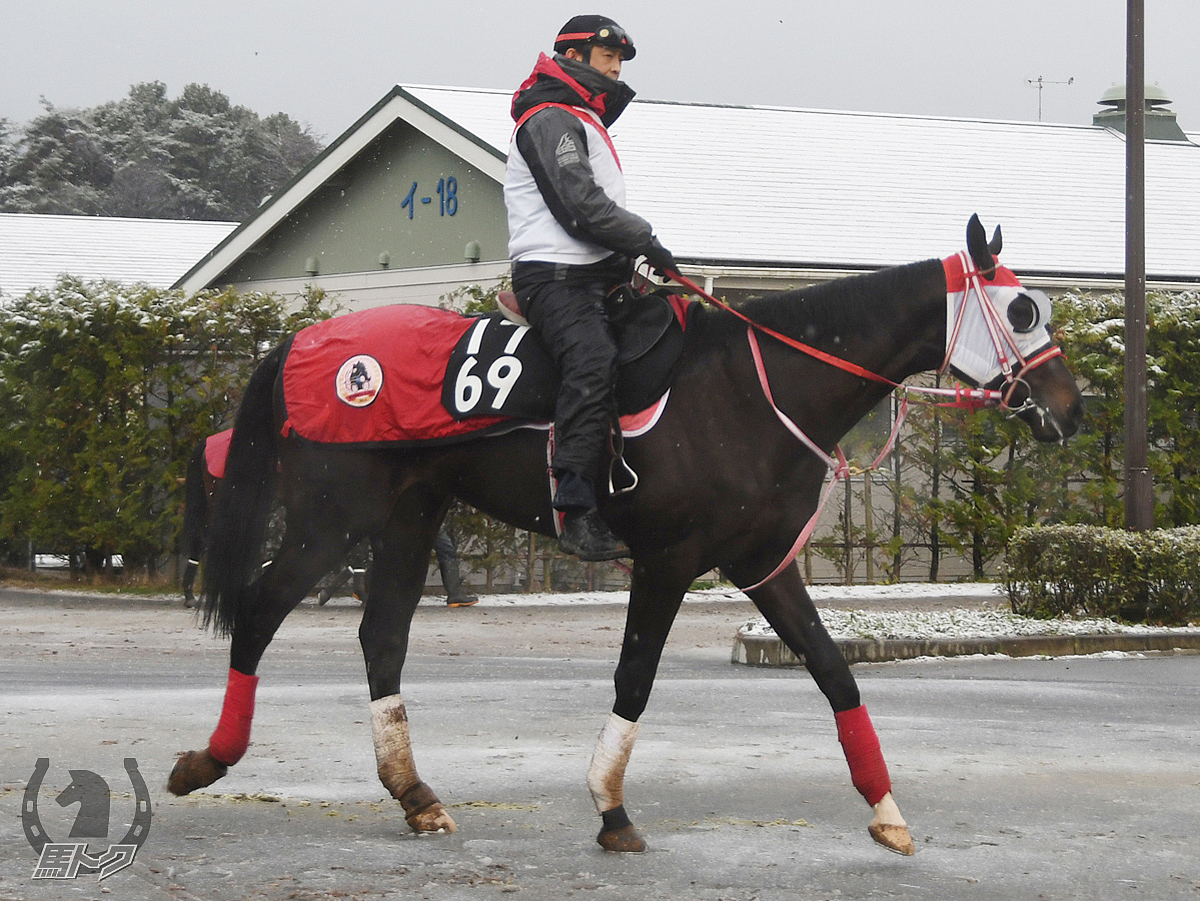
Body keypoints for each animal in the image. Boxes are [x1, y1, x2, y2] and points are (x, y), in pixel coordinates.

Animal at [164, 218, 1084, 859]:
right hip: (330, 518)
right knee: (259, 609)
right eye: (1022, 308)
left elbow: (835, 674)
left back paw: (414, 792)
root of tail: (303, 339)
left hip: (406, 518)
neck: (754, 388)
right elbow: (635, 679)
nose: (1070, 410)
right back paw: (210, 757)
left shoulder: (764, 565)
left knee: (381, 636)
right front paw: (610, 808)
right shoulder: (669, 561)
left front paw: (887, 811)